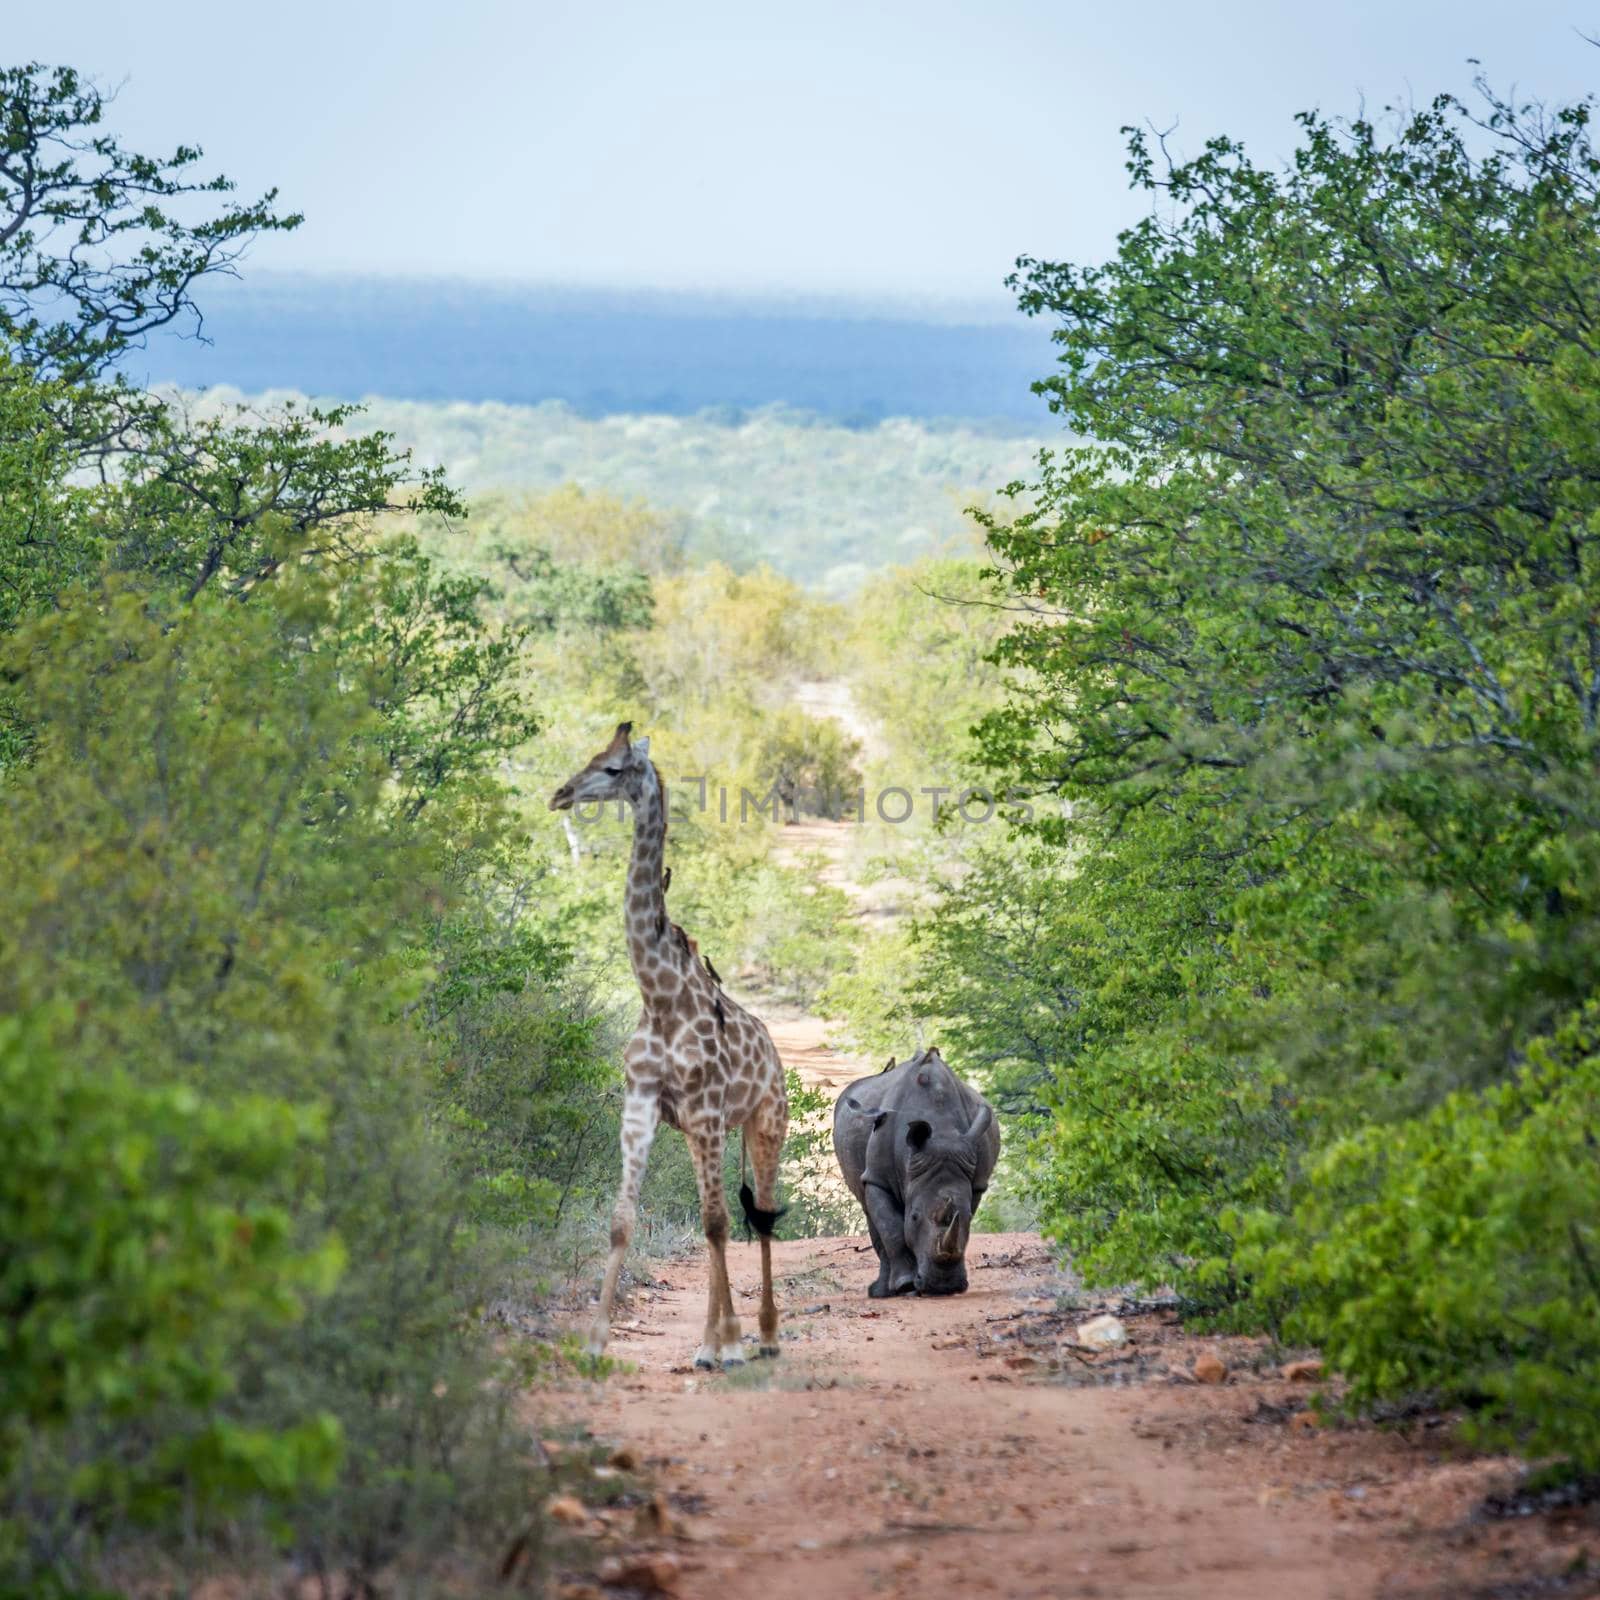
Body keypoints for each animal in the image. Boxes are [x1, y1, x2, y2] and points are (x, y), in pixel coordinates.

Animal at [547, 723, 790, 1363]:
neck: (658, 995)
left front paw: (729, 1342)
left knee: (759, 1215)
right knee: (728, 1214)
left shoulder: (704, 1108)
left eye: (613, 768)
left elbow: (716, 1223)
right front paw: (596, 1341)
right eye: (591, 754)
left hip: (765, 1123)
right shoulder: (643, 1104)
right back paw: (718, 1341)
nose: (561, 793)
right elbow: (624, 1219)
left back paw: (764, 1336)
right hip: (710, 1130)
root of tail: (777, 1056)